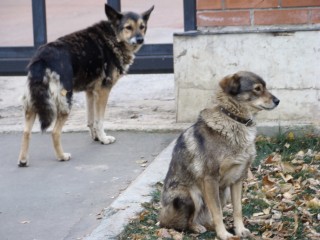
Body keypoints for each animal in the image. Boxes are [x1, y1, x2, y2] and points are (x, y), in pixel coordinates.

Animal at [18, 3, 154, 166]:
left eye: (142, 26)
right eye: (128, 27)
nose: (140, 39)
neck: (113, 36)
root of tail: (42, 58)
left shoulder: (90, 93)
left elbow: (91, 120)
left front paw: (96, 137)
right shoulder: (103, 91)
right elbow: (99, 120)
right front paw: (104, 139)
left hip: (33, 104)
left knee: (26, 132)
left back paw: (23, 160)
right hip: (65, 102)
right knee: (55, 132)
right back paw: (62, 156)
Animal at [160, 71, 280, 240]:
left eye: (265, 87)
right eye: (257, 89)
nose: (278, 101)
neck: (234, 120)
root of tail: (161, 218)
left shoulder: (237, 179)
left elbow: (237, 209)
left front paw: (240, 230)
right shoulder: (210, 179)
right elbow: (217, 212)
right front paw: (223, 234)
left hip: (224, 193)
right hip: (190, 195)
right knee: (181, 223)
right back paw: (196, 227)